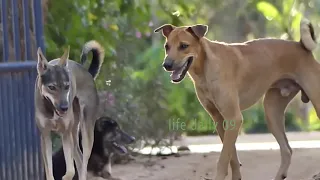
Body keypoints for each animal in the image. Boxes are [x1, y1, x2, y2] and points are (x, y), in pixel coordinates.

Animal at [35, 40, 105, 180]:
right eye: (52, 87)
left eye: (67, 86)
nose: (65, 107)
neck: (52, 110)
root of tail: (88, 73)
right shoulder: (45, 136)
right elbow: (49, 172)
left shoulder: (65, 134)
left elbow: (71, 171)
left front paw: (65, 177)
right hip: (74, 132)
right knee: (79, 160)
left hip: (85, 133)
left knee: (83, 163)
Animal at [154, 18, 318, 180]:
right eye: (167, 47)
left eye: (184, 46)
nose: (166, 65)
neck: (205, 68)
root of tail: (300, 46)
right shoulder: (220, 120)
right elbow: (231, 155)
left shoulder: (234, 117)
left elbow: (223, 158)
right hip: (272, 112)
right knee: (286, 150)